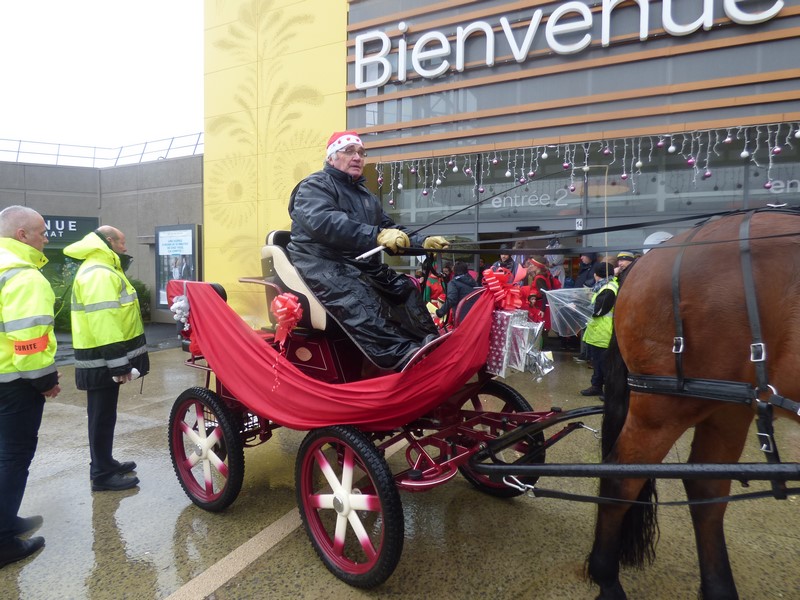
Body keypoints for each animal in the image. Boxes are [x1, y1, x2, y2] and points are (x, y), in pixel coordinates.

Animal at [585, 208, 800, 599]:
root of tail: (643, 262)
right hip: (665, 407)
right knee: (620, 479)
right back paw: (606, 578)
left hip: (726, 403)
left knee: (706, 489)